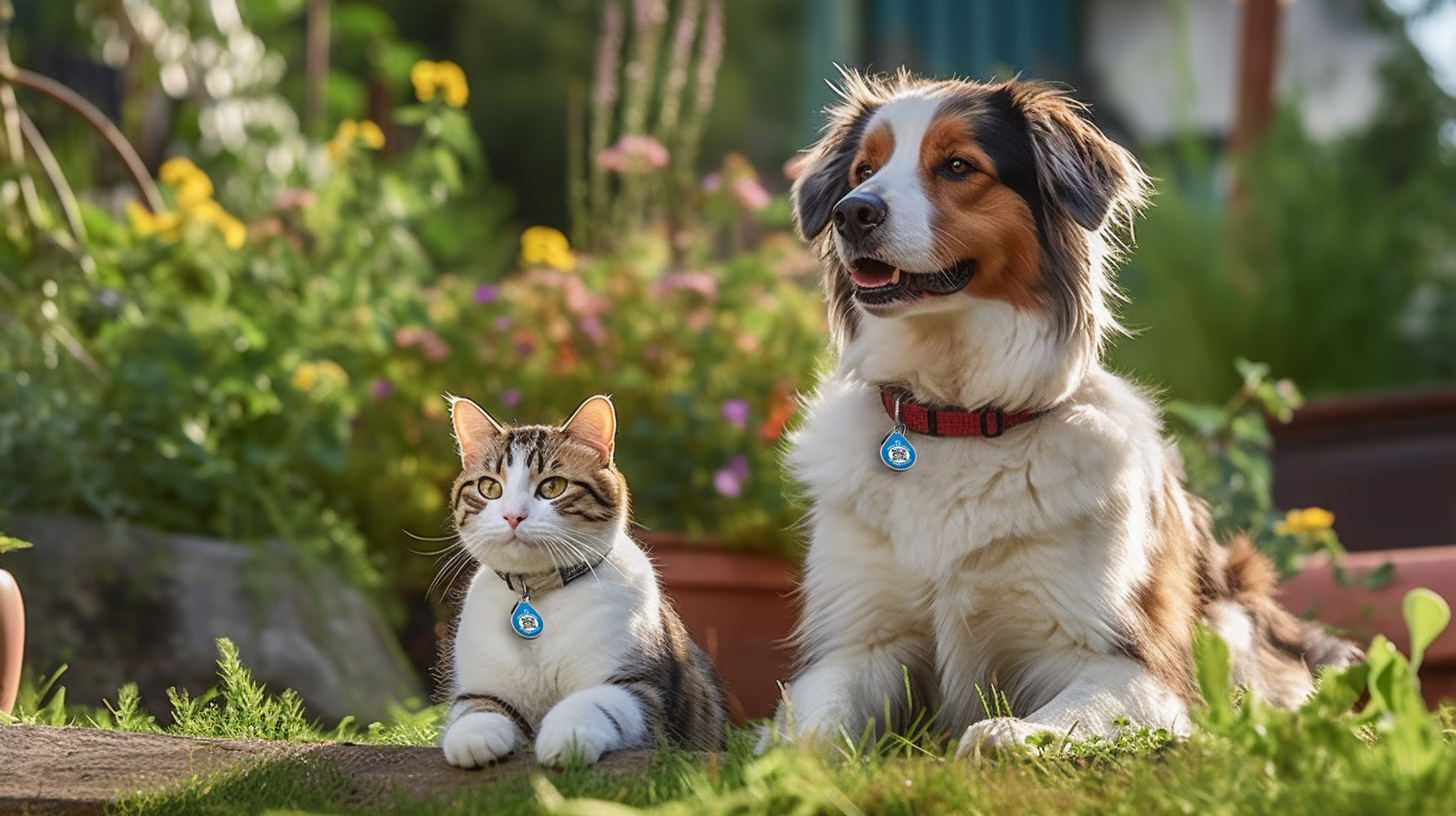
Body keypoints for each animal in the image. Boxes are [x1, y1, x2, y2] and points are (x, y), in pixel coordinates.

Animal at [433, 393, 725, 769]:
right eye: (489, 487)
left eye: (553, 486)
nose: (513, 516)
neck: (536, 592)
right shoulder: (480, 687)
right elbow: (475, 708)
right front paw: (473, 737)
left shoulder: (642, 688)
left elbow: (592, 702)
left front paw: (566, 738)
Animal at [780, 69, 1356, 751]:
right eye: (862, 170)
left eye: (956, 166)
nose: (852, 212)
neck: (958, 416)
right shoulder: (857, 641)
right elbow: (808, 733)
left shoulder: (1129, 663)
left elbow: (1045, 722)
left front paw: (1002, 734)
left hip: (1231, 614)